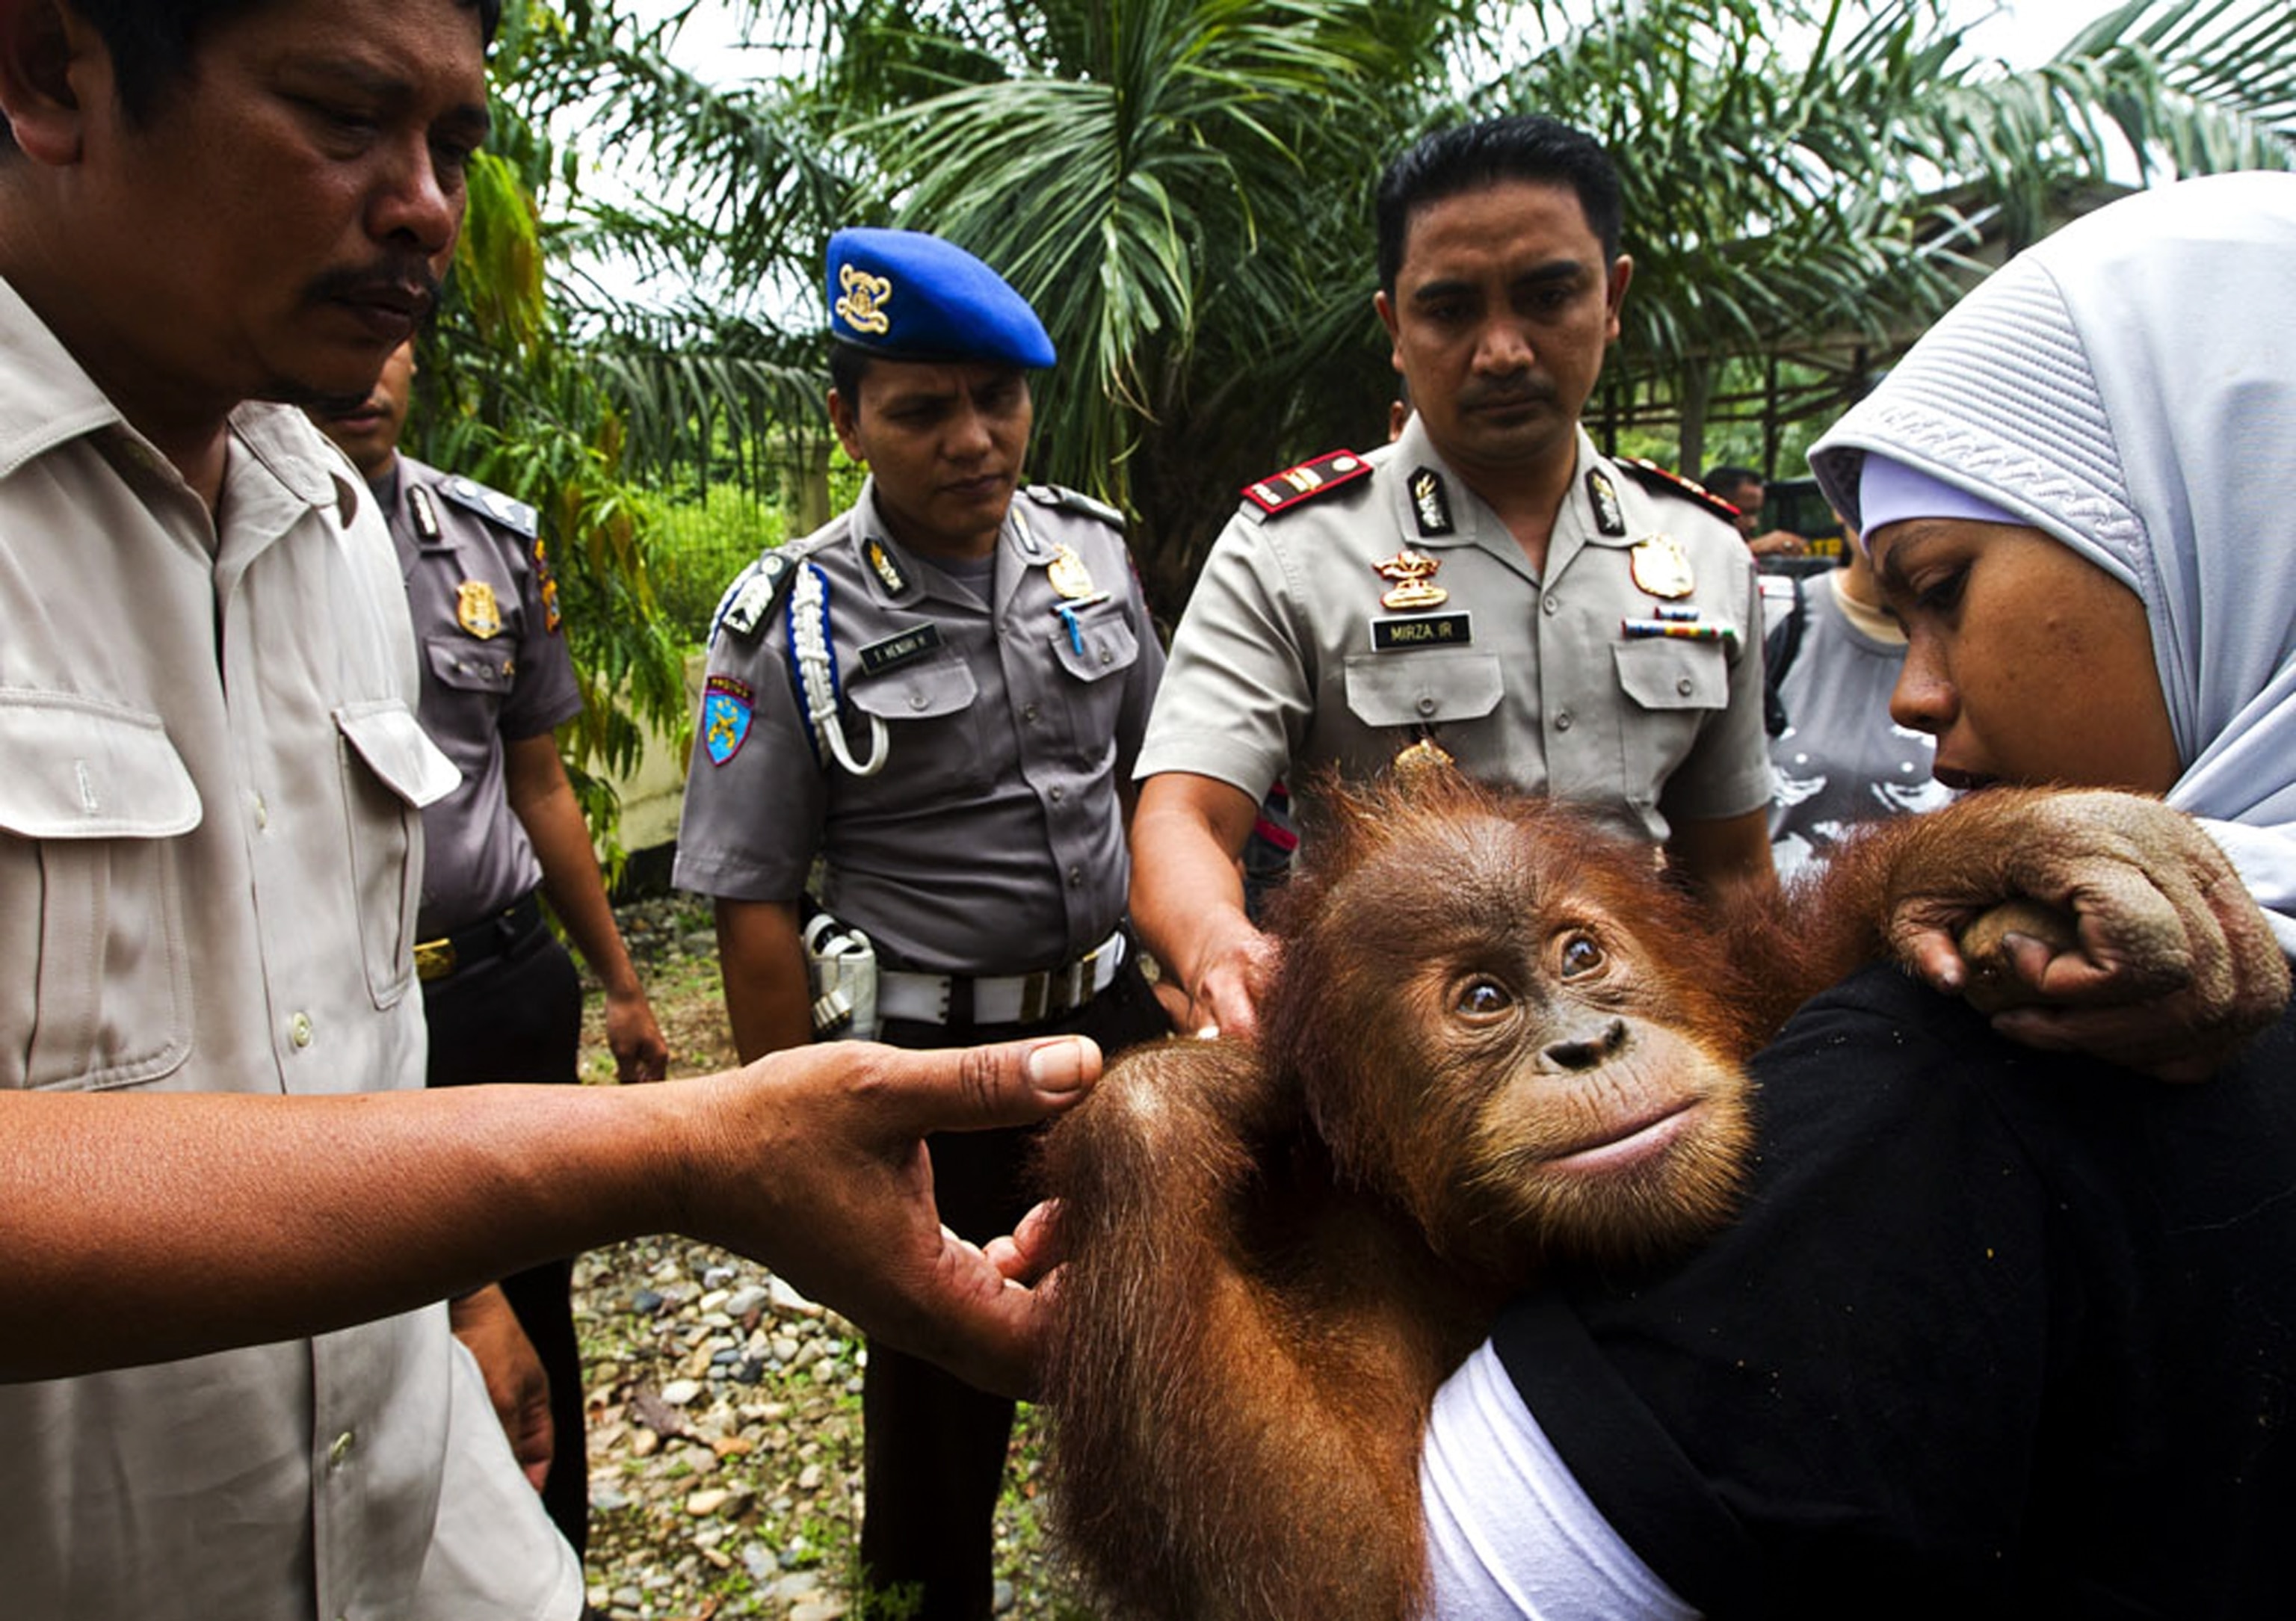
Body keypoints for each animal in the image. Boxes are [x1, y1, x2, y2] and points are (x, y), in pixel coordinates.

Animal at [1035, 766, 2291, 1621]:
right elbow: (1337, 1570)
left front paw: (2007, 849)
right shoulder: (1355, 1260)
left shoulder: (1751, 990)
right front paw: (1178, 1091)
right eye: (1483, 998)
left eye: (1580, 956)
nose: (1587, 1044)